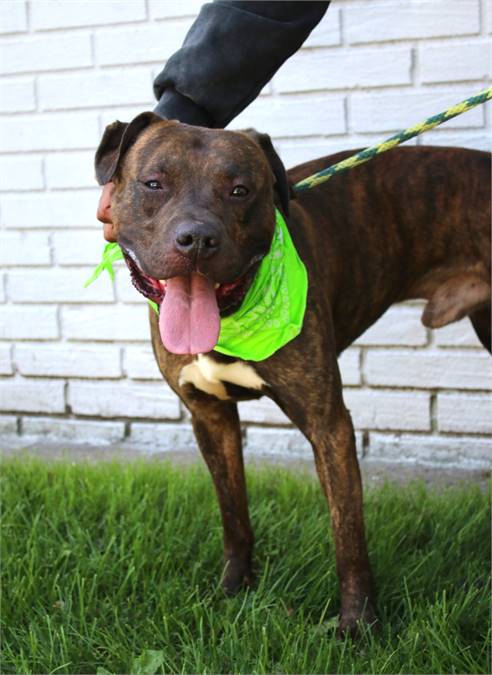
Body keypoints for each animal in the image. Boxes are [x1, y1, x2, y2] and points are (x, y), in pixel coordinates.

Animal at [94, 113, 490, 636]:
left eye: (240, 190)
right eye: (154, 184)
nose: (197, 239)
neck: (231, 321)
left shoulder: (329, 425)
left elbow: (348, 534)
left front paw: (358, 625)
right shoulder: (210, 419)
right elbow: (233, 513)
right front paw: (234, 589)